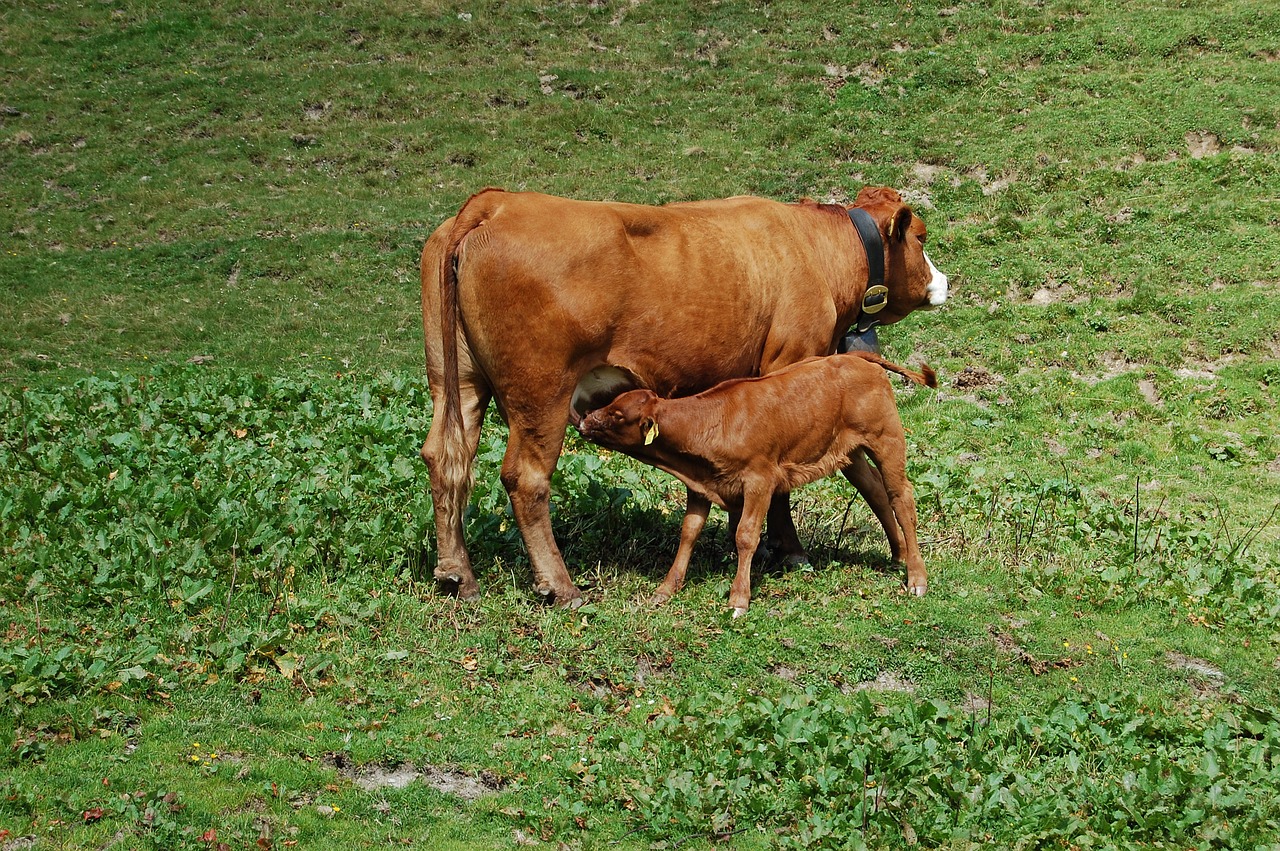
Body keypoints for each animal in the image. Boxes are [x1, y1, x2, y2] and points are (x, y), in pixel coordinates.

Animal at [578, 348, 931, 614]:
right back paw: (899, 555)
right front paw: (665, 589)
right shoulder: (700, 486)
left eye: (617, 415)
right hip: (851, 453)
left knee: (901, 496)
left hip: (887, 439)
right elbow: (688, 532)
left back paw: (916, 578)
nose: (583, 421)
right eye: (610, 403)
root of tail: (856, 356)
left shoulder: (760, 480)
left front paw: (739, 599)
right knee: (876, 493)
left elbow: (746, 535)